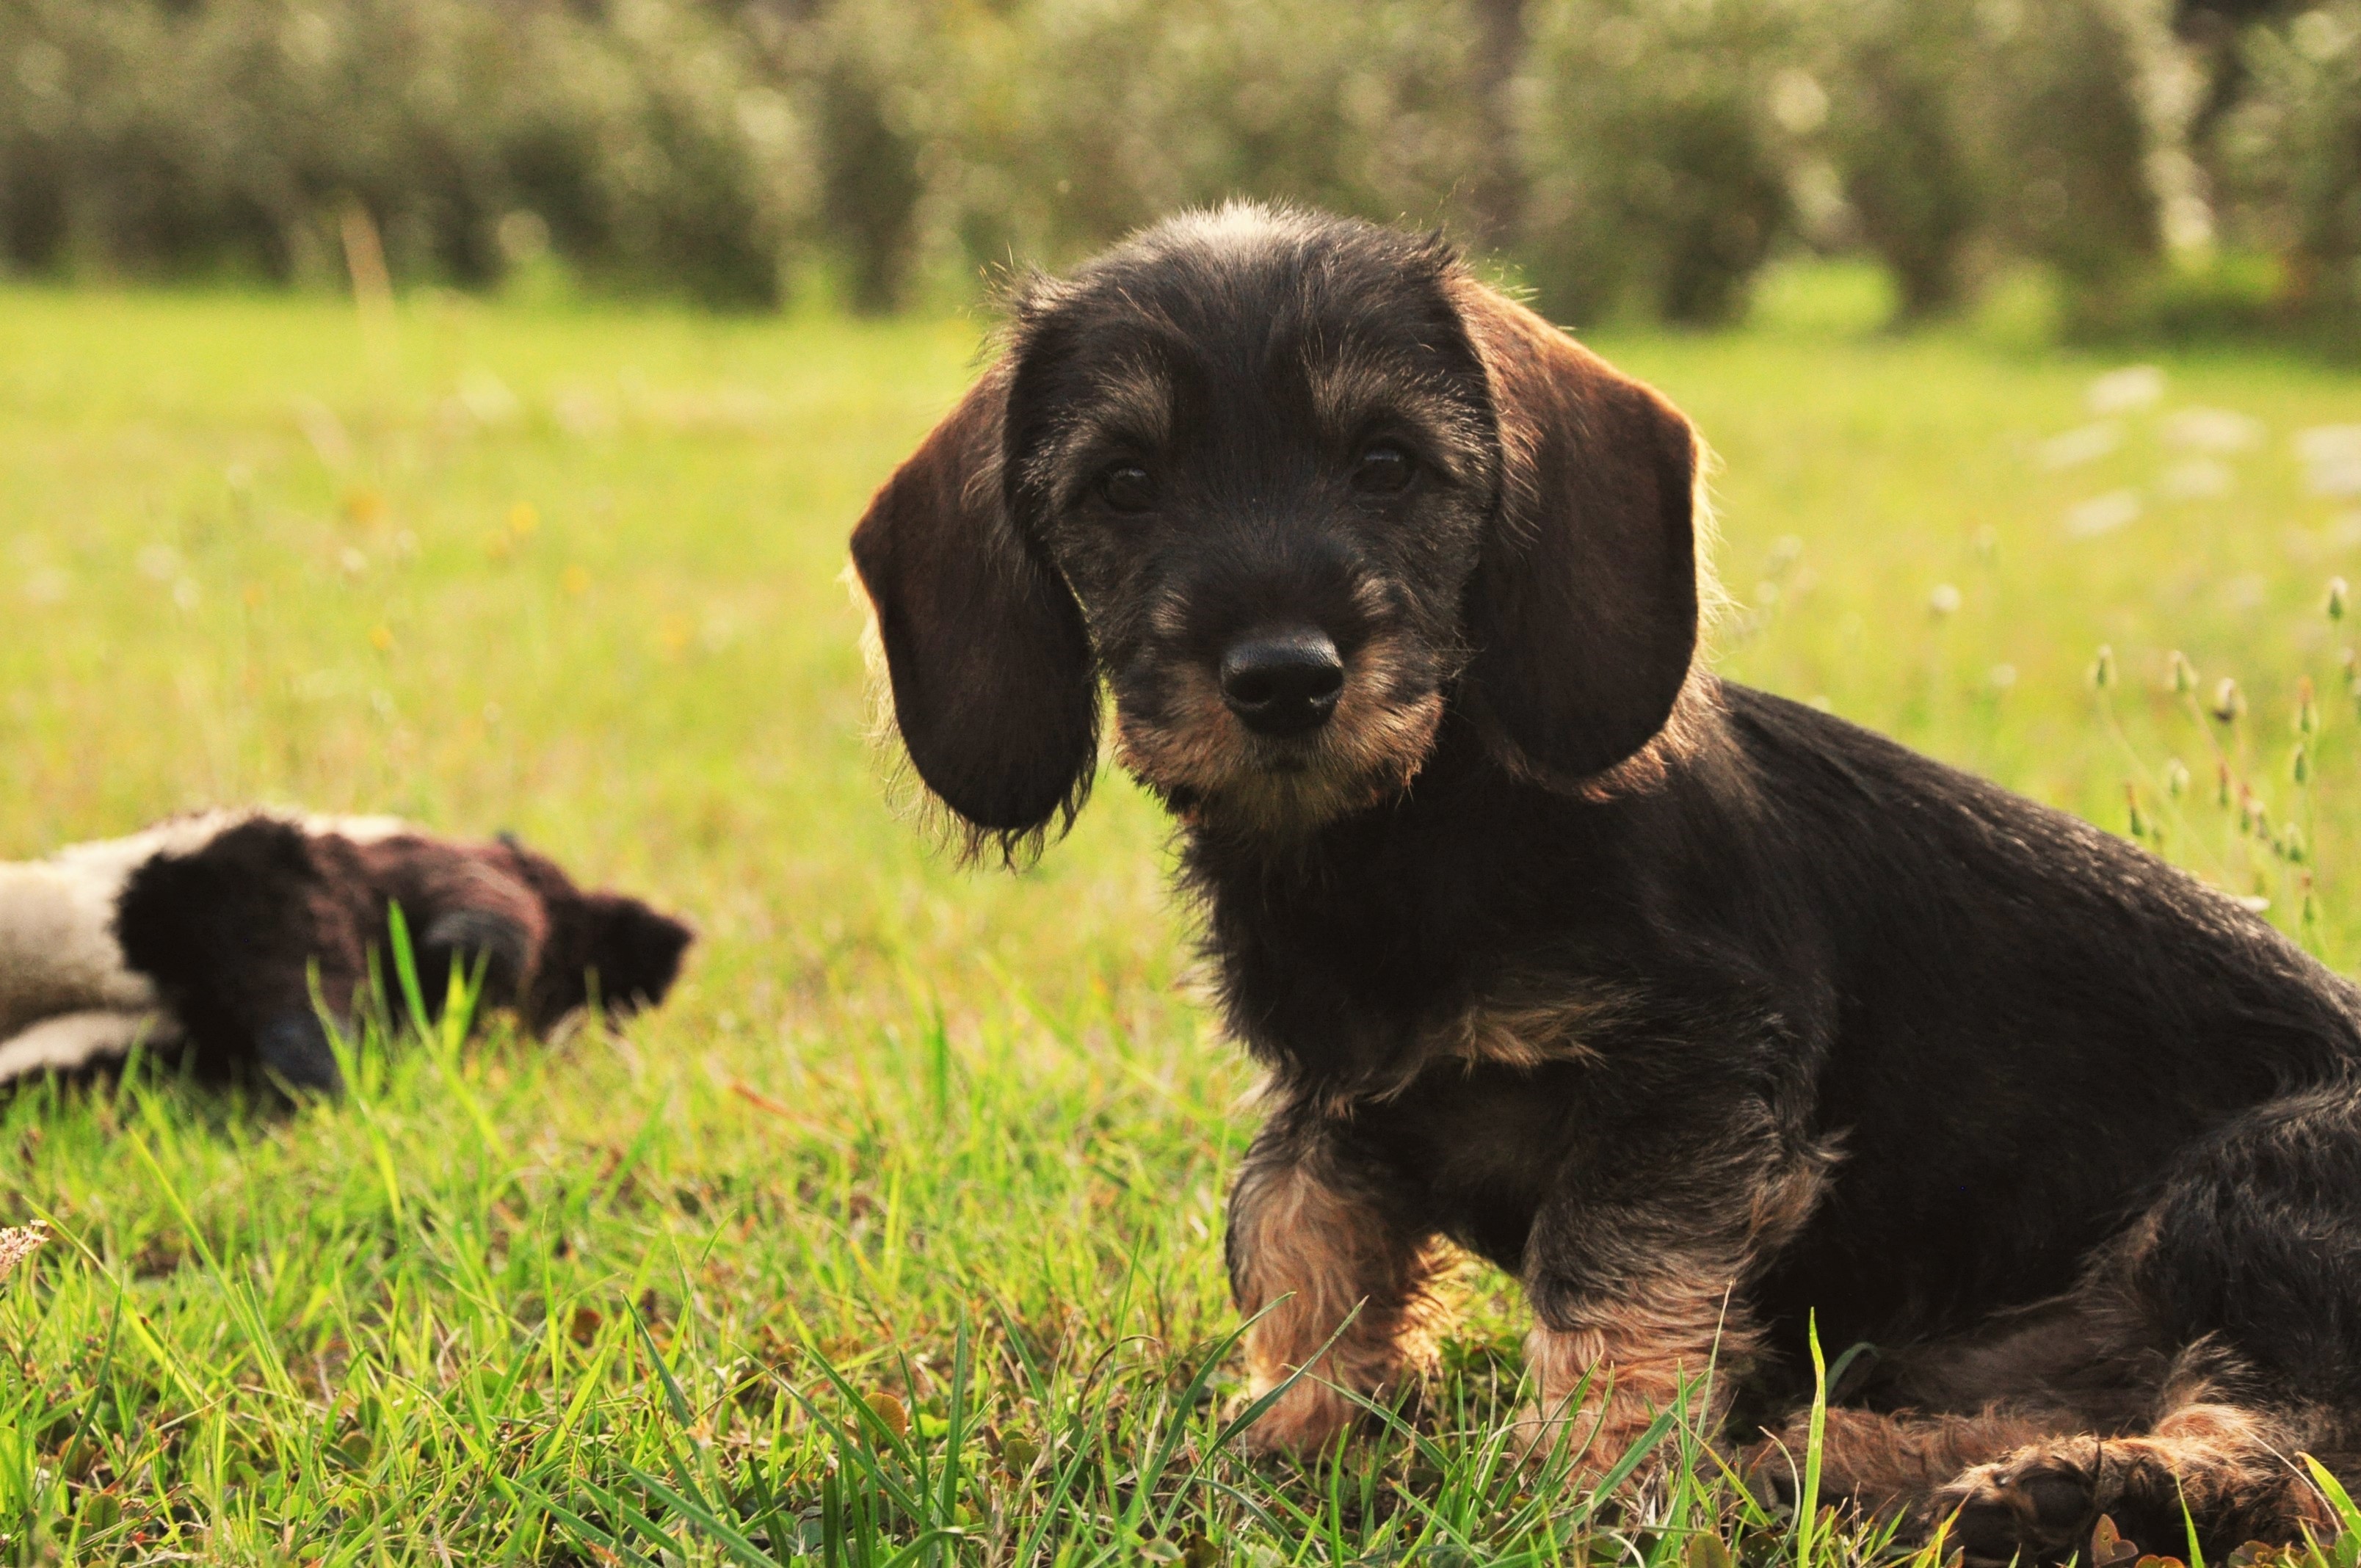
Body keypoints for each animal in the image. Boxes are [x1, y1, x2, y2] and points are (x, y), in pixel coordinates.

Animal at [859, 205, 2361, 1558]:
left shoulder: (1689, 1081)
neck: (1412, 839)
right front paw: (1277, 1451)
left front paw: (1583, 1491)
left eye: (1387, 463)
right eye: (1122, 483)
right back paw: (1881, 1472)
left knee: (2285, 1450)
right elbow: (1299, 1256)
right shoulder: (1329, 1108)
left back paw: (2080, 1493)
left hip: (2255, 1181)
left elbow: (1607, 1280)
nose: (1284, 678)